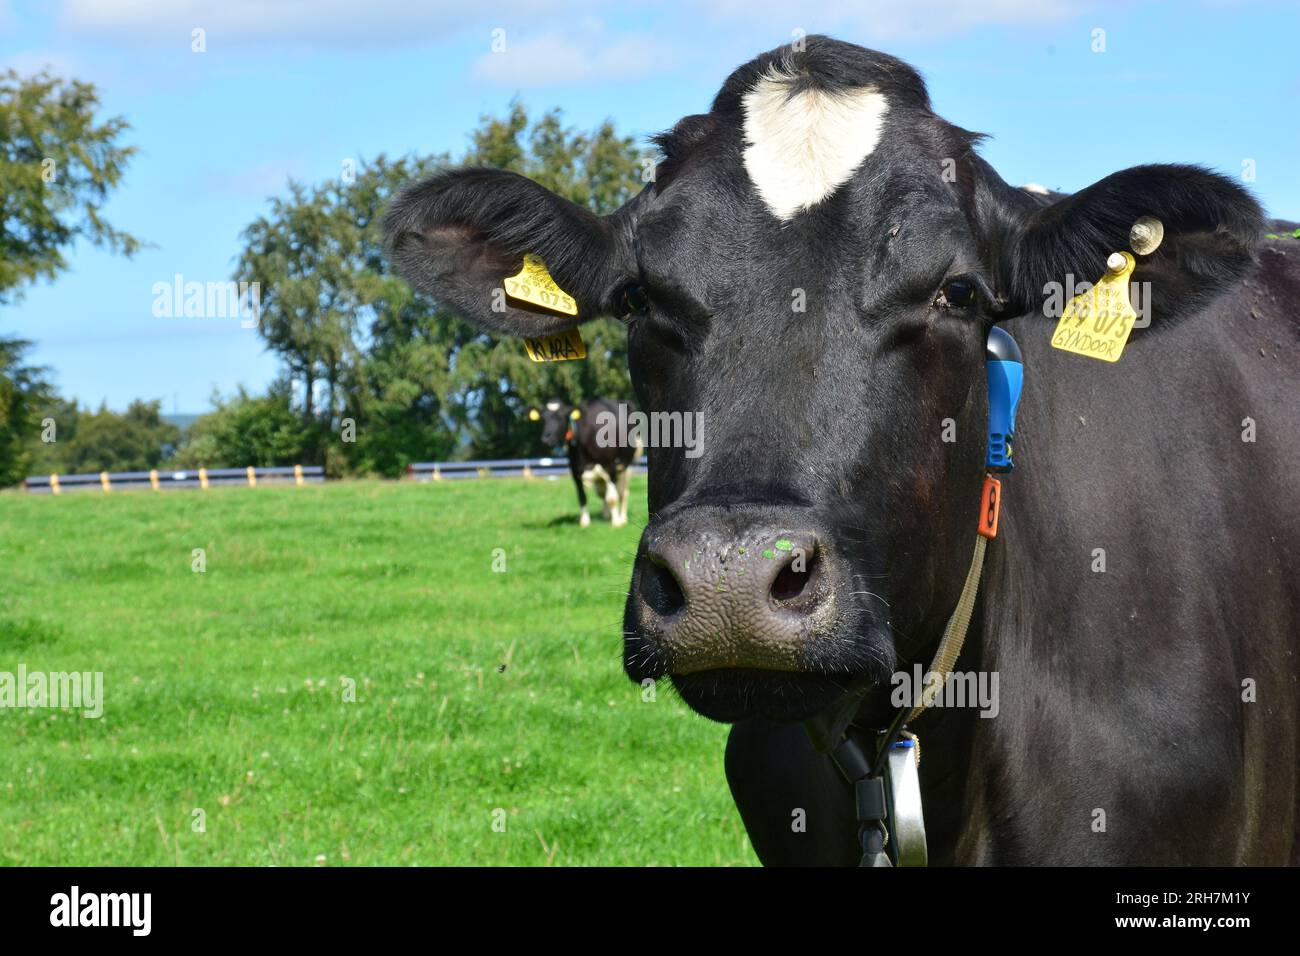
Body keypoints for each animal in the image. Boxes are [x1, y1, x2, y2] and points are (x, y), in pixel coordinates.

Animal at [531, 397, 639, 527]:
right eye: (543, 418)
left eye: (562, 417)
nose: (546, 437)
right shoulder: (575, 468)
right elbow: (582, 496)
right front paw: (584, 522)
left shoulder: (610, 465)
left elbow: (613, 498)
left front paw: (616, 523)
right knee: (603, 493)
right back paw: (606, 515)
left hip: (627, 465)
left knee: (623, 492)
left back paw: (622, 518)